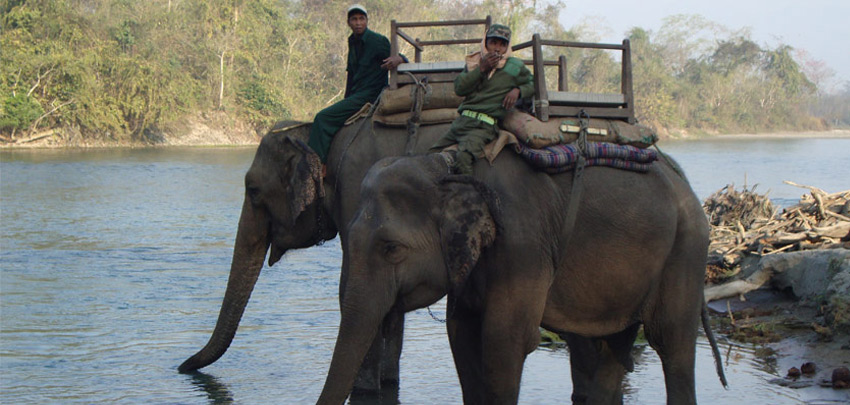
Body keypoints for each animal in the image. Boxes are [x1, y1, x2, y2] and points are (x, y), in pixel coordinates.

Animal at [177, 119, 454, 394]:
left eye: (253, 190)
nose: (181, 367)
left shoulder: (355, 194)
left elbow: (351, 290)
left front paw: (363, 389)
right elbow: (389, 304)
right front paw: (387, 382)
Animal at [317, 150, 726, 404]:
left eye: (392, 249)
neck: (446, 164)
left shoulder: (523, 244)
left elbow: (504, 341)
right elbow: (461, 335)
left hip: (685, 249)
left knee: (671, 343)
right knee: (617, 345)